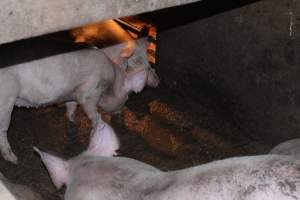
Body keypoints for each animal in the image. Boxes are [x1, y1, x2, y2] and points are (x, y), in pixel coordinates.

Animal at [0, 48, 150, 164]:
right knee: (3, 128)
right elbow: (94, 115)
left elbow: (71, 107)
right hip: (6, 97)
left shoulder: (71, 93)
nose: (120, 115)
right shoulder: (89, 94)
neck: (110, 83)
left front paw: (75, 121)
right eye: (127, 98)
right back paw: (13, 159)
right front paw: (96, 130)